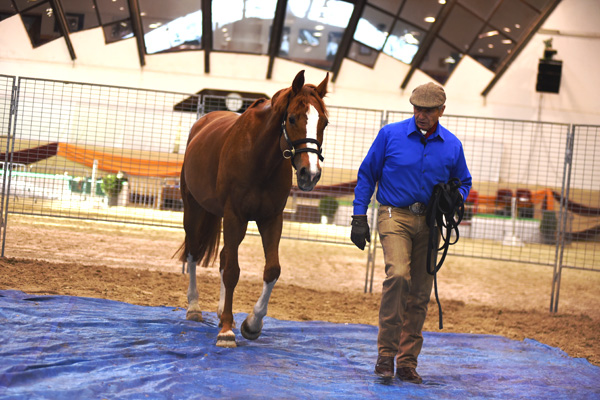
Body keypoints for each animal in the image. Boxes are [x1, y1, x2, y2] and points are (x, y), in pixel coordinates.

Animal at [177, 71, 328, 346]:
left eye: (324, 123)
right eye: (292, 118)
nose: (310, 174)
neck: (260, 158)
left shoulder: (271, 218)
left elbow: (272, 269)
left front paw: (252, 324)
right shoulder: (234, 216)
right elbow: (232, 271)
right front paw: (227, 331)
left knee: (223, 256)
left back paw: (221, 313)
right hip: (193, 210)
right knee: (193, 253)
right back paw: (194, 308)